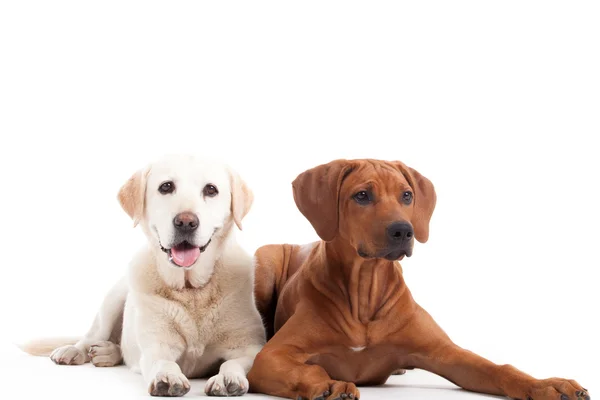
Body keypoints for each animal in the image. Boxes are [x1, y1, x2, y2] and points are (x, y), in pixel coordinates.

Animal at [21, 155, 264, 396]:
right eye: (166, 186)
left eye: (211, 189)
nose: (186, 222)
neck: (191, 289)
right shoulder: (156, 347)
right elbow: (163, 361)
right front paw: (168, 377)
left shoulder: (249, 347)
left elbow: (232, 362)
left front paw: (227, 377)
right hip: (114, 298)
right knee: (92, 335)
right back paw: (75, 350)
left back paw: (107, 352)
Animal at [246, 159, 588, 400]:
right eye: (362, 196)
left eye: (407, 195)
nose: (403, 231)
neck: (366, 289)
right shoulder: (271, 357)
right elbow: (307, 367)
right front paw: (329, 385)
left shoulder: (447, 353)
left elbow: (498, 368)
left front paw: (546, 384)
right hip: (264, 266)